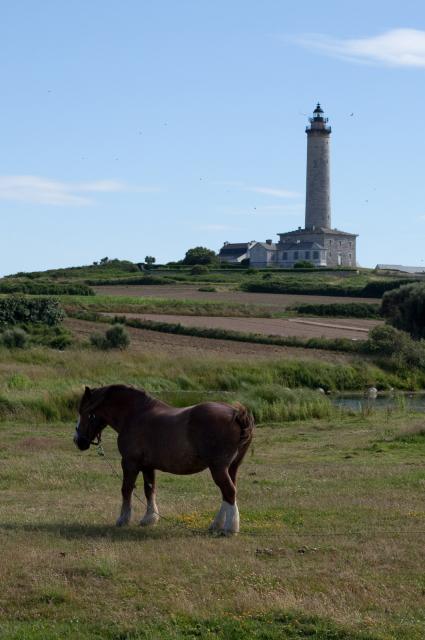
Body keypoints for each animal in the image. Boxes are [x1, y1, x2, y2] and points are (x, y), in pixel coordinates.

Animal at [73, 384, 253, 536]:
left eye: (85, 412)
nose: (78, 440)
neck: (135, 415)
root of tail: (235, 414)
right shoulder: (147, 466)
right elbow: (149, 489)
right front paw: (149, 518)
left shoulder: (130, 463)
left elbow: (126, 489)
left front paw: (123, 519)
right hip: (232, 468)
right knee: (228, 493)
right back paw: (216, 525)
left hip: (218, 468)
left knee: (229, 491)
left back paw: (229, 529)